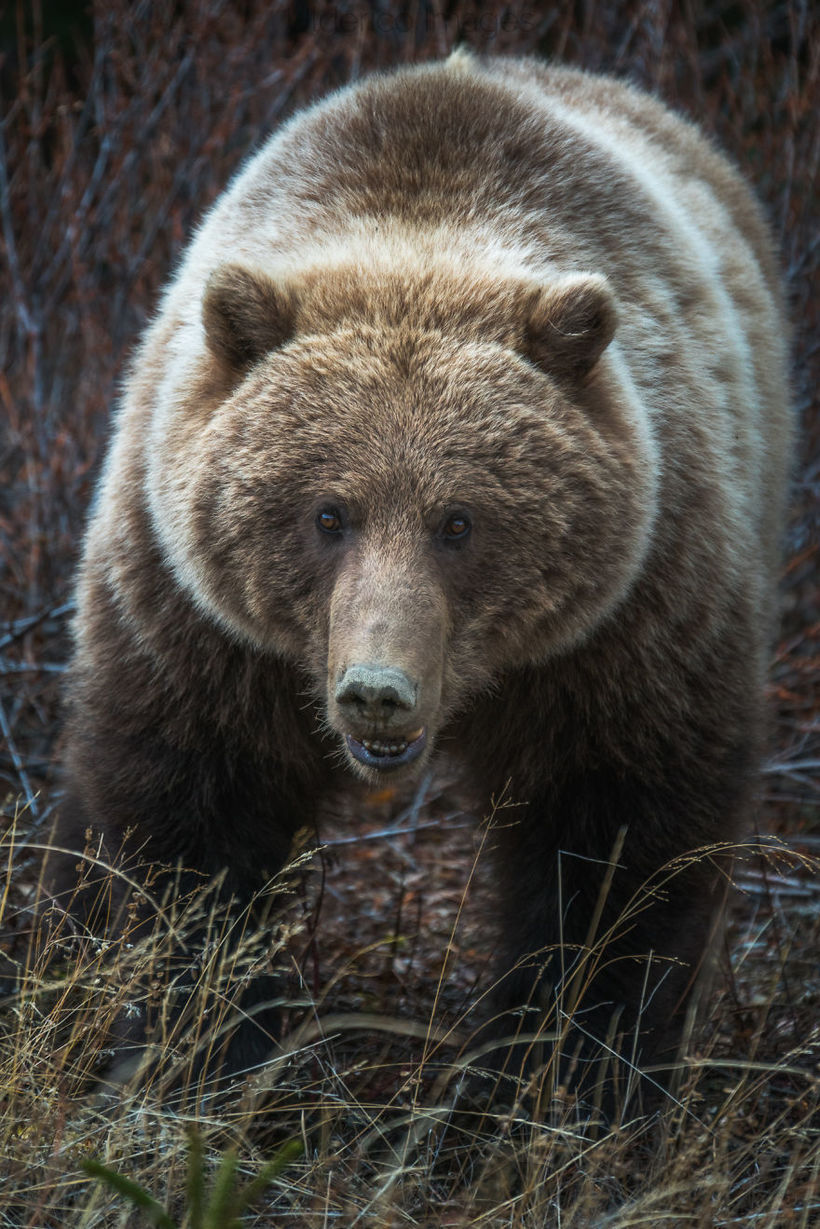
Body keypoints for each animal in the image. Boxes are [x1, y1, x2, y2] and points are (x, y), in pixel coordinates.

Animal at [49, 47, 786, 1111]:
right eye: (327, 513)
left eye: (459, 521)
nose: (377, 692)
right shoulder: (201, 629)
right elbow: (192, 830)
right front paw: (201, 1062)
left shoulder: (632, 625)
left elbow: (618, 854)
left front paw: (571, 1081)